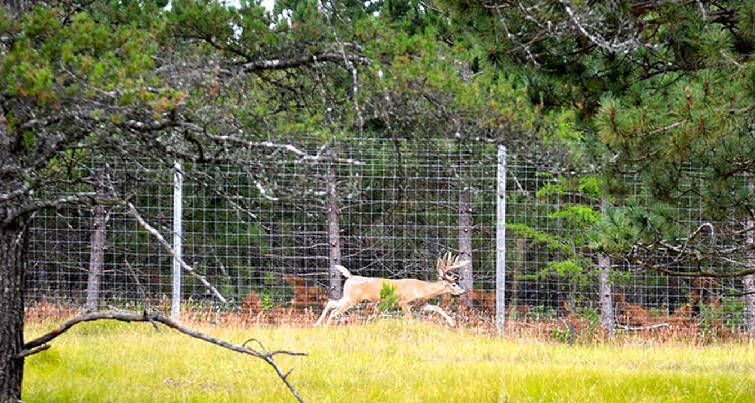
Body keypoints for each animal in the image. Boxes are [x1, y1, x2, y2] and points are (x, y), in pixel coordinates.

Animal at [314, 253, 468, 327]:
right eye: (454, 284)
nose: (463, 292)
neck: (422, 289)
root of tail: (350, 276)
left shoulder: (421, 304)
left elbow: (437, 308)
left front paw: (452, 323)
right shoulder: (404, 302)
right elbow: (410, 318)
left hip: (349, 298)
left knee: (330, 303)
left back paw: (317, 324)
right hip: (352, 299)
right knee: (334, 311)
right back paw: (326, 326)